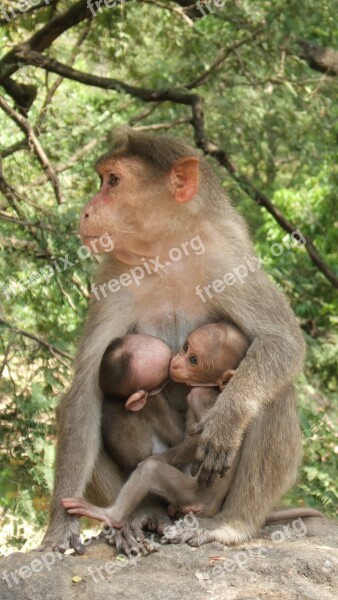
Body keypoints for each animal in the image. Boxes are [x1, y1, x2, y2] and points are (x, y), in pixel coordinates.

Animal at [43, 129, 316, 556]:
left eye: (113, 181)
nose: (86, 212)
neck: (167, 253)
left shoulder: (228, 261)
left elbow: (280, 340)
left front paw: (225, 420)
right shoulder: (111, 279)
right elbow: (84, 391)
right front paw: (60, 526)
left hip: (203, 493)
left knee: (276, 393)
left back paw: (233, 524)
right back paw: (138, 515)